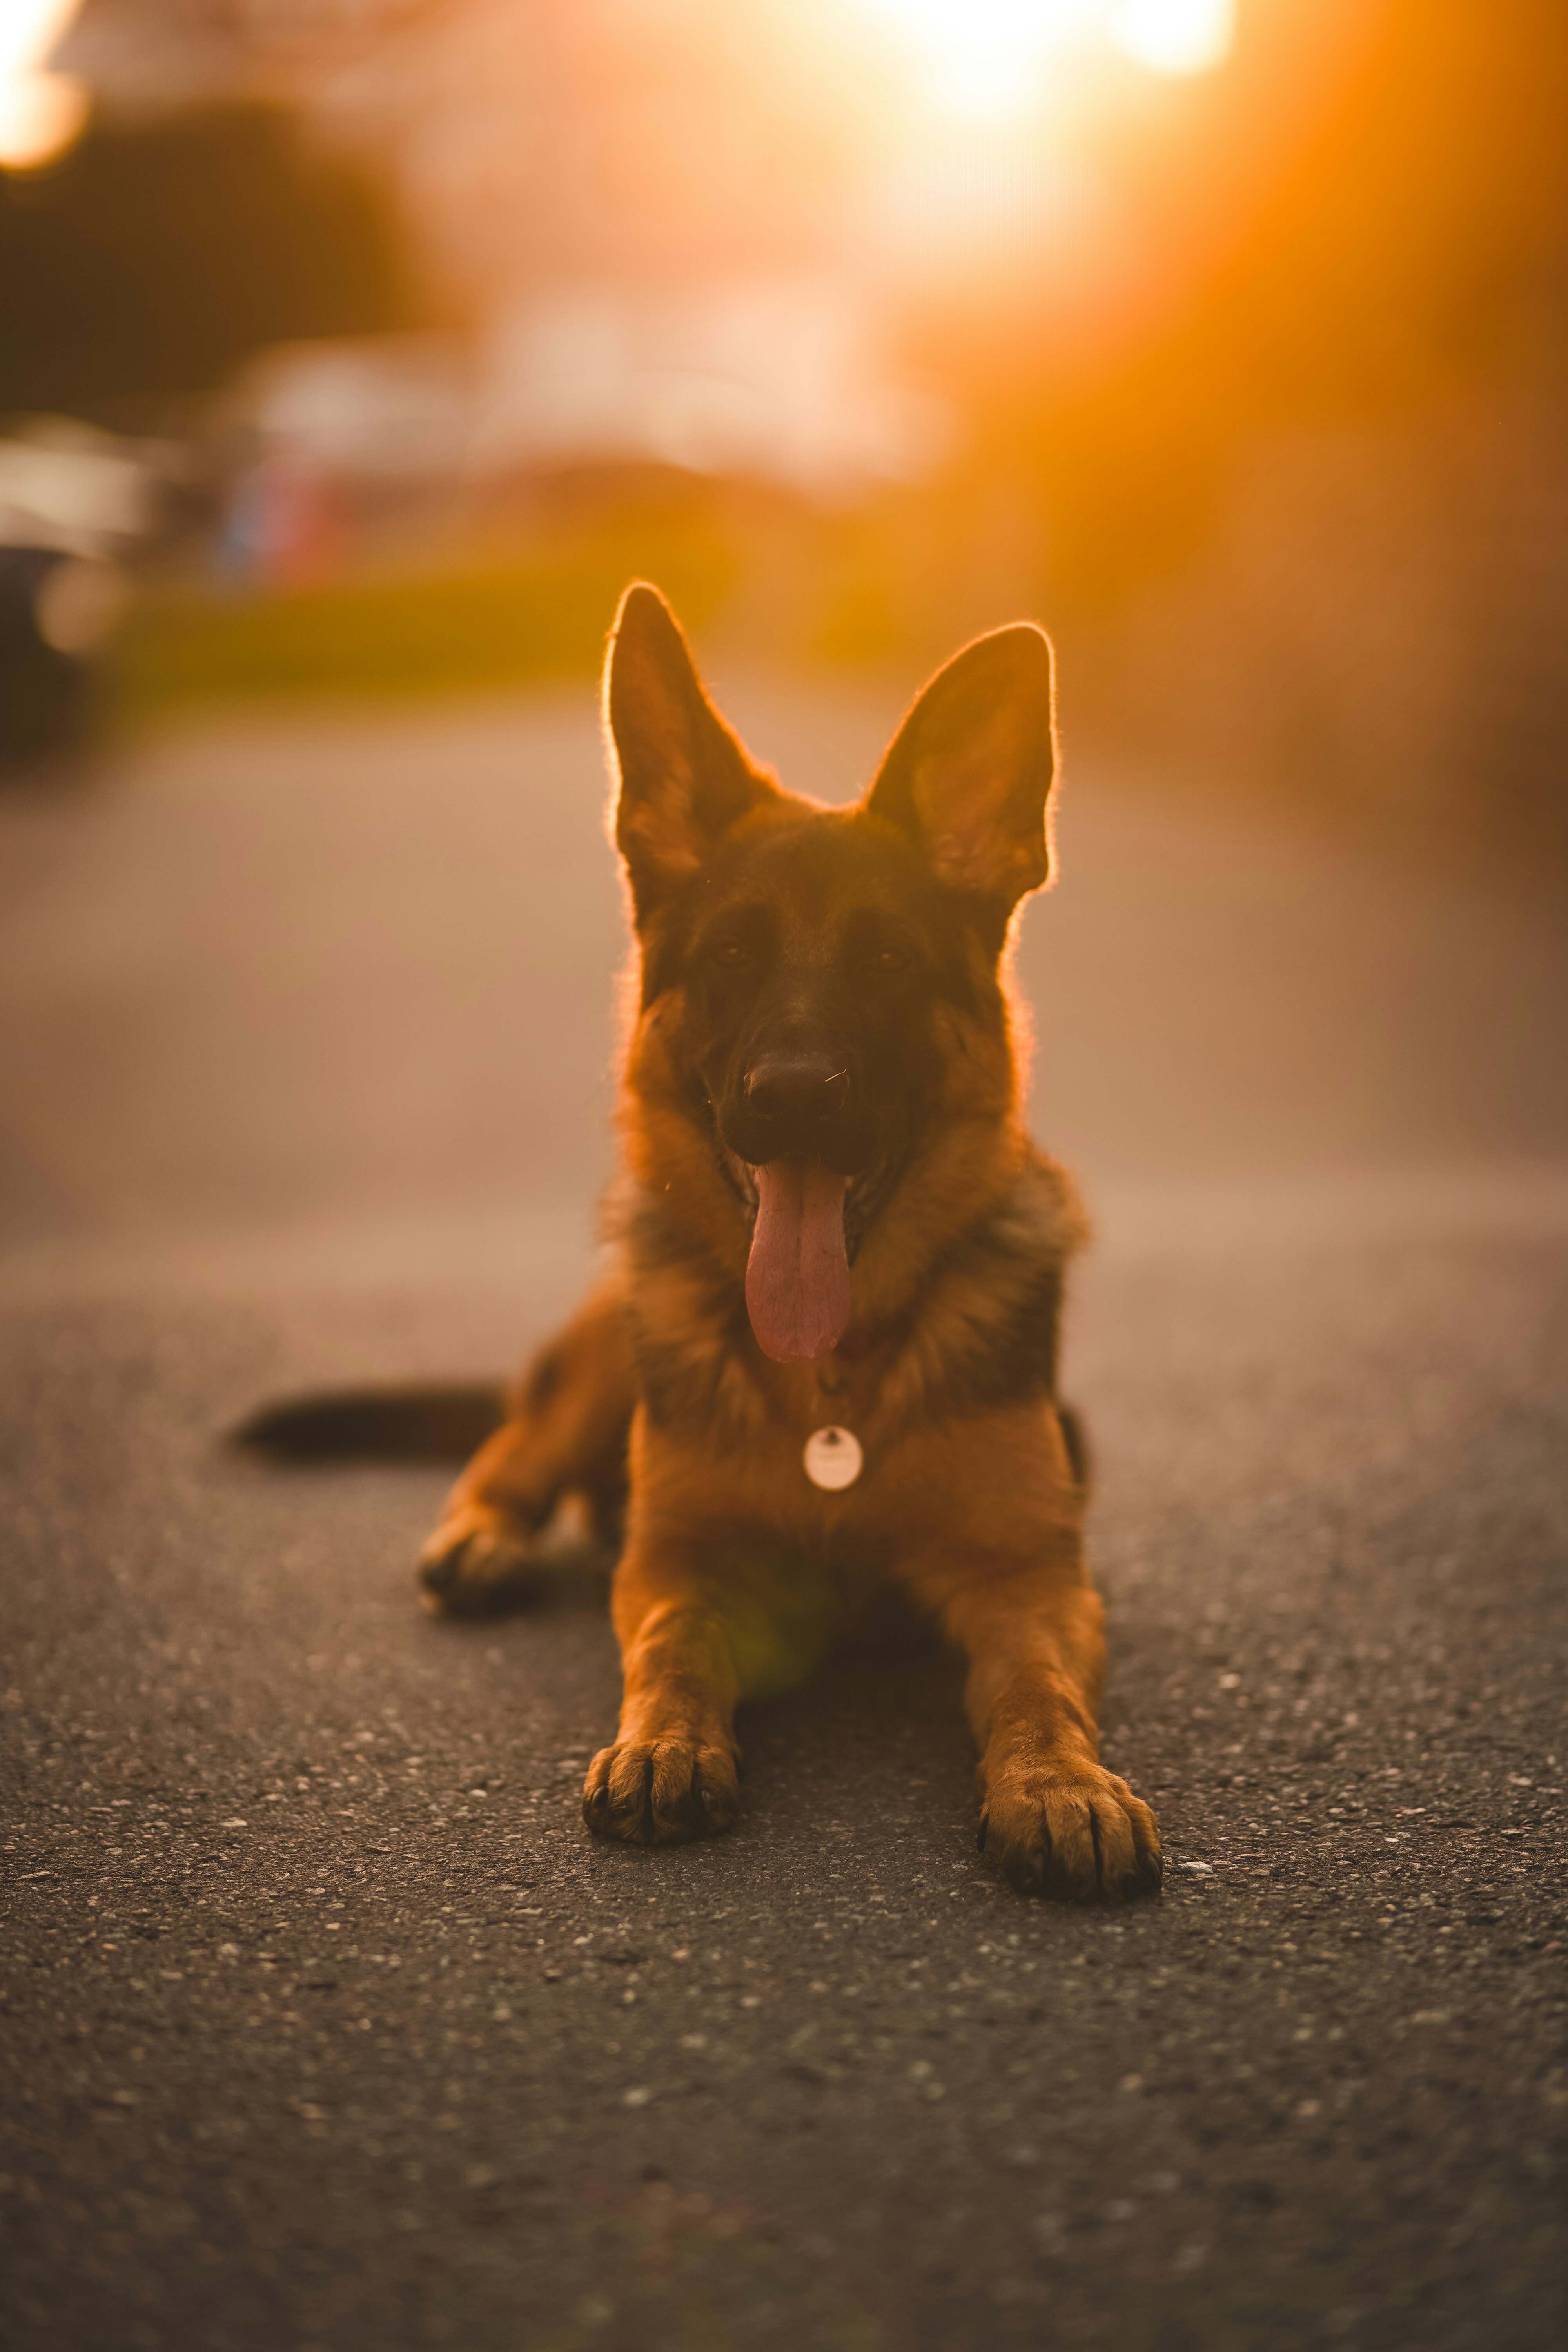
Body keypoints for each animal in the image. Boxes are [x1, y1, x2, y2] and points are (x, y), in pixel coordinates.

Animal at [383, 588, 1166, 1910]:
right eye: (732, 957)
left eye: (889, 960)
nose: (792, 1094)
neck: (831, 1392)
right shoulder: (675, 1562)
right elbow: (672, 1643)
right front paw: (664, 1742)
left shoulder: (1032, 1580)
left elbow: (1036, 1687)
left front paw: (1060, 1785)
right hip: (606, 1353)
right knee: (513, 1445)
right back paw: (482, 1535)